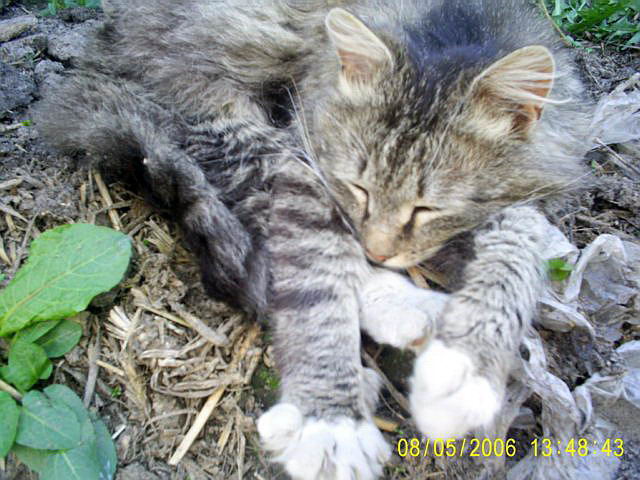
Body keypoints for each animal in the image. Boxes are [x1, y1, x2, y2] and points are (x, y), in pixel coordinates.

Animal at [36, 0, 592, 478]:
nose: (378, 250)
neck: (453, 21)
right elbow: (318, 279)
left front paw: (469, 363)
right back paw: (405, 311)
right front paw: (329, 420)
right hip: (218, 112)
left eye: (427, 208)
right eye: (360, 187)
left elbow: (517, 255)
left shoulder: (521, 199)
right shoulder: (306, 160)